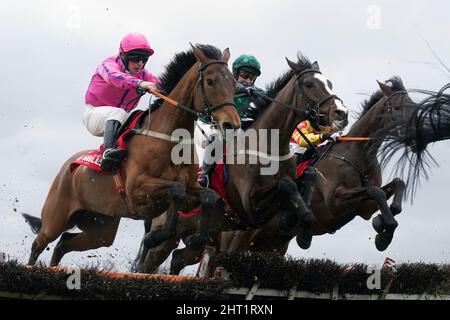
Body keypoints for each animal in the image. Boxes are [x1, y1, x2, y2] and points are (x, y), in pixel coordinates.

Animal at [23, 43, 243, 266]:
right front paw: (155, 236)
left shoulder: (192, 187)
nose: (232, 124)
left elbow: (208, 195)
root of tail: (66, 169)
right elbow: (177, 189)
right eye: (210, 81)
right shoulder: (137, 189)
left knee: (63, 244)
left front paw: (197, 238)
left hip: (100, 228)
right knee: (39, 243)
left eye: (234, 84)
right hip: (56, 218)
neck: (169, 137)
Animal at [138, 53, 352, 274]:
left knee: (178, 258)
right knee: (149, 262)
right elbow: (285, 184)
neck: (268, 147)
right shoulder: (250, 204)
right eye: (309, 84)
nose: (341, 113)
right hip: (167, 236)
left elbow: (306, 177)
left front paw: (303, 226)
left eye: (329, 83)